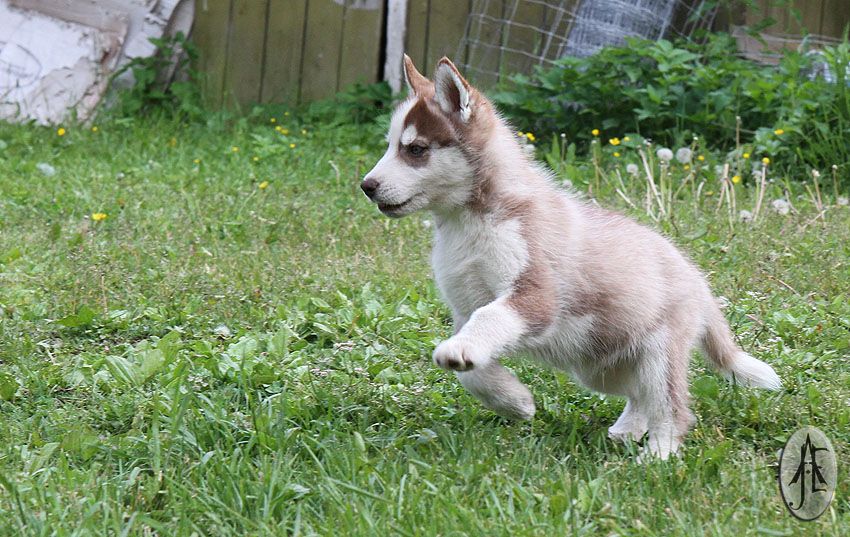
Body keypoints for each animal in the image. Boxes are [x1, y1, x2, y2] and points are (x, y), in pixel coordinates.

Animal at [362, 54, 780, 456]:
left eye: (416, 150)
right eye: (389, 145)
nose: (367, 185)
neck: (470, 221)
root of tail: (697, 277)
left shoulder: (534, 295)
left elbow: (489, 318)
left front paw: (465, 353)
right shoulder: (464, 307)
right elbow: (473, 372)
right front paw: (514, 401)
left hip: (658, 352)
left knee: (671, 406)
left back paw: (658, 456)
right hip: (600, 365)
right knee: (640, 394)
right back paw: (628, 429)